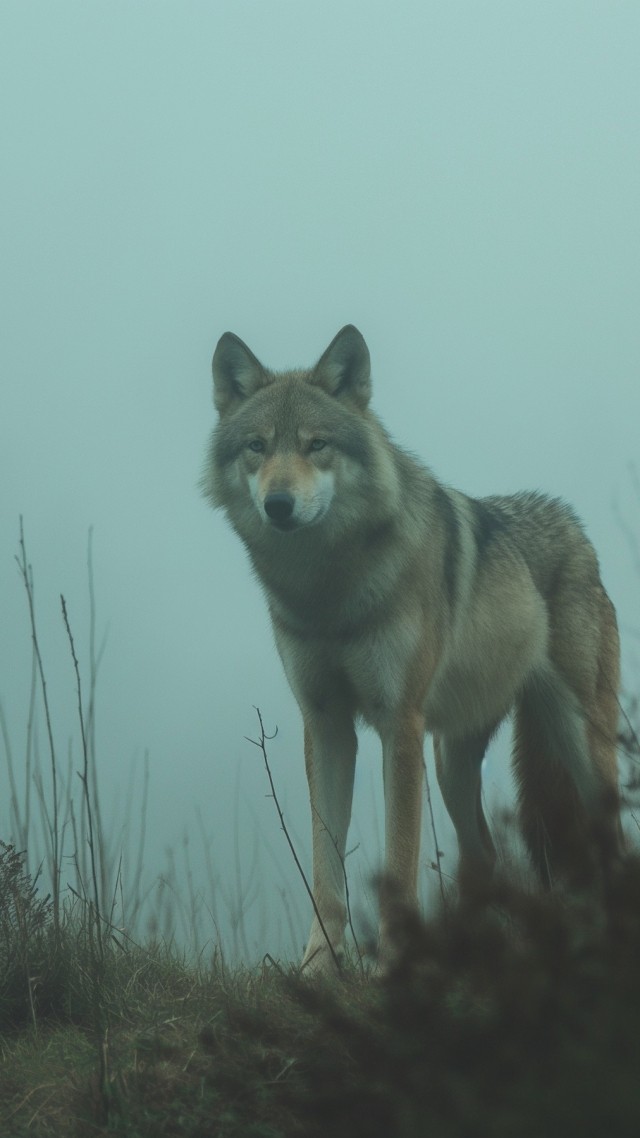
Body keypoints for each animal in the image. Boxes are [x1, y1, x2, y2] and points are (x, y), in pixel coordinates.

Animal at [202, 324, 621, 973]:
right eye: (257, 446)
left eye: (317, 445)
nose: (278, 505)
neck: (328, 592)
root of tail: (575, 528)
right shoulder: (326, 724)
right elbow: (325, 867)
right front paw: (319, 967)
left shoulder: (399, 724)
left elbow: (399, 864)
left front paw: (393, 970)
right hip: (451, 761)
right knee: (484, 857)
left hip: (580, 745)